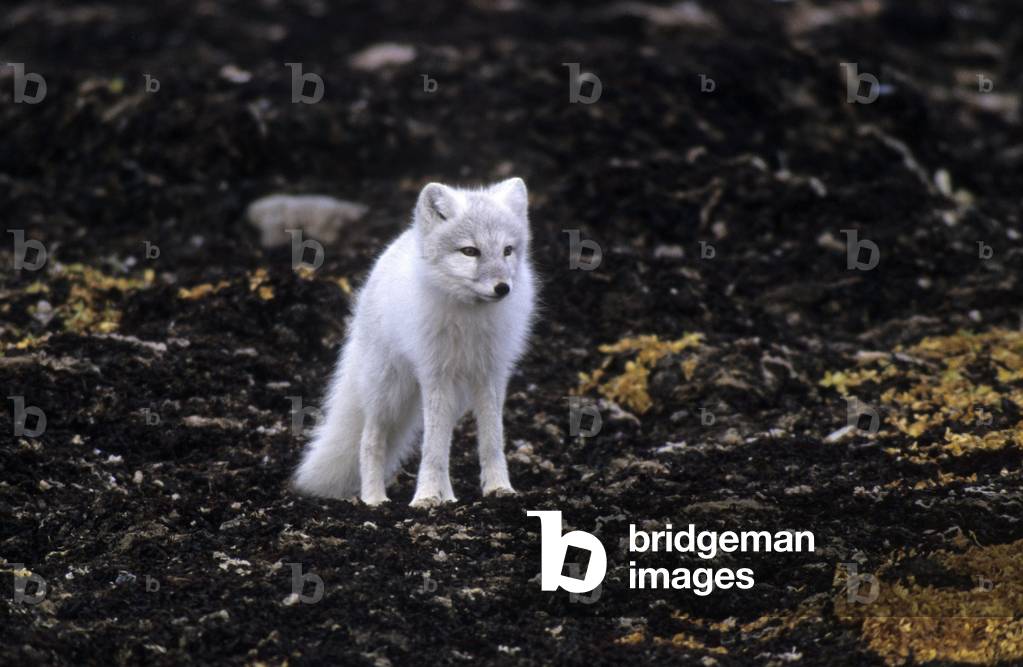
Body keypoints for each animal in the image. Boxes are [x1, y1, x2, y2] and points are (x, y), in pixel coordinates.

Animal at [292, 178, 536, 506]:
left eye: (508, 250)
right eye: (470, 251)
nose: (502, 288)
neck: (470, 320)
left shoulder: (491, 376)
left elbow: (491, 440)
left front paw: (499, 488)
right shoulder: (435, 375)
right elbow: (432, 449)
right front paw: (426, 497)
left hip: (450, 397)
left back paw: (448, 497)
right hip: (388, 389)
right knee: (370, 441)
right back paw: (374, 499)